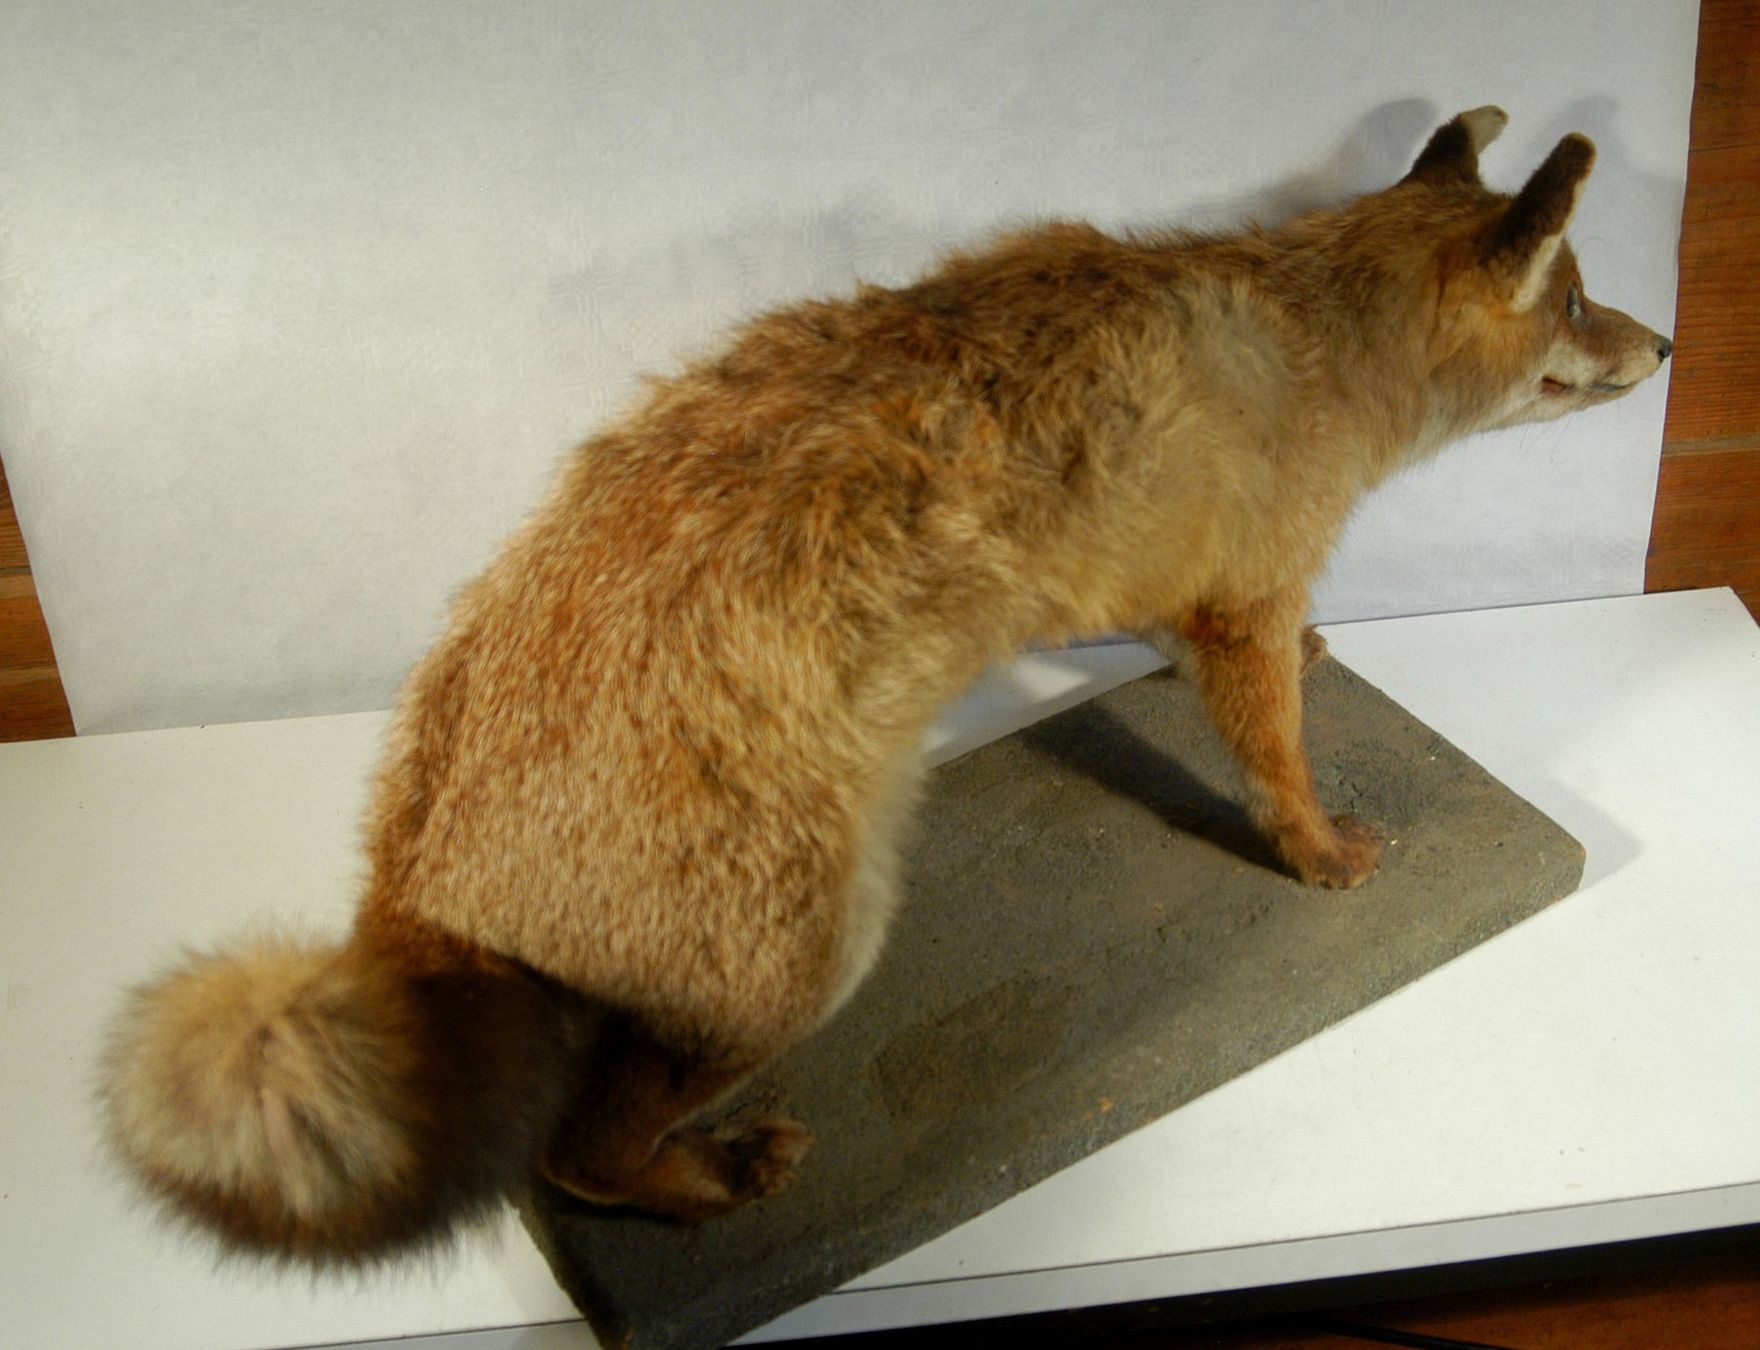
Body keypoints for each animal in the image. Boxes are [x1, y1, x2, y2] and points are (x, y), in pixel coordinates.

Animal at [101, 107, 1670, 1266]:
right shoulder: (1247, 590)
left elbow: (1200, 650)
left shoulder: (1169, 577)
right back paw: (704, 1182)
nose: (1661, 344)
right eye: (1577, 296)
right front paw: (1321, 848)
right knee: (574, 1159)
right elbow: (1273, 756)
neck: (1303, 337)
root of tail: (410, 862)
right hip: (807, 966)